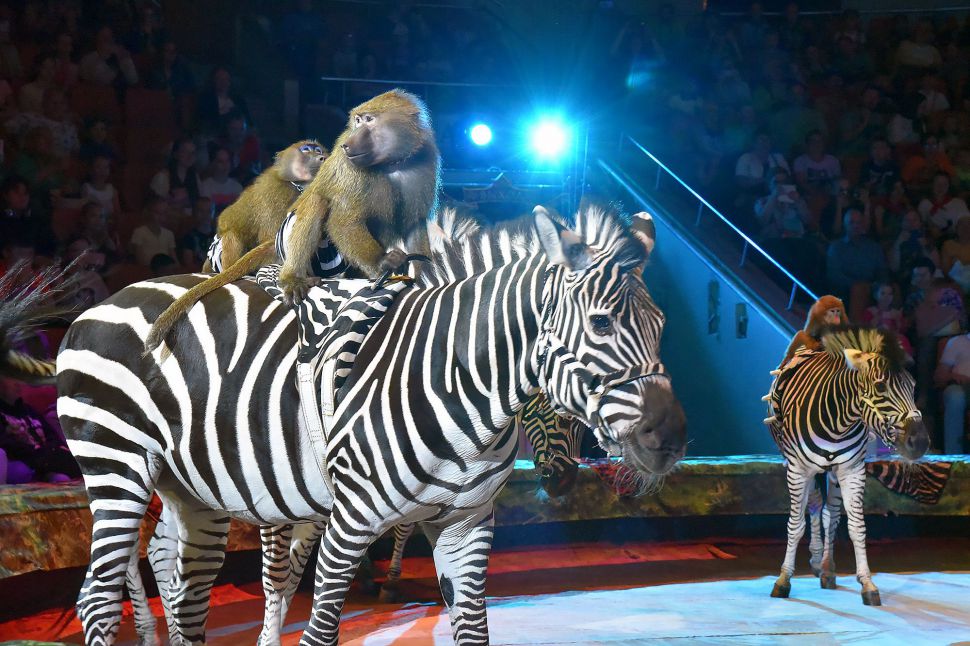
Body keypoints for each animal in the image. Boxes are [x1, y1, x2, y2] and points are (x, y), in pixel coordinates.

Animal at [25, 204, 685, 646]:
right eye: (601, 324)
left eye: (661, 326)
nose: (673, 438)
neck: (453, 381)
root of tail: (102, 302)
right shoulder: (345, 520)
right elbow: (306, 615)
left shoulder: (466, 524)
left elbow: (471, 630)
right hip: (117, 470)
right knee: (97, 598)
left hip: (189, 489)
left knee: (180, 586)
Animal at [764, 326, 929, 605]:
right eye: (880, 386)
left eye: (913, 386)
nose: (920, 442)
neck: (837, 421)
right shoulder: (798, 468)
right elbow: (795, 525)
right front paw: (783, 580)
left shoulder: (852, 470)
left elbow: (856, 527)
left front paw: (867, 583)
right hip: (804, 467)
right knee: (814, 506)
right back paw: (816, 559)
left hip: (833, 472)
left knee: (830, 513)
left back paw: (827, 570)